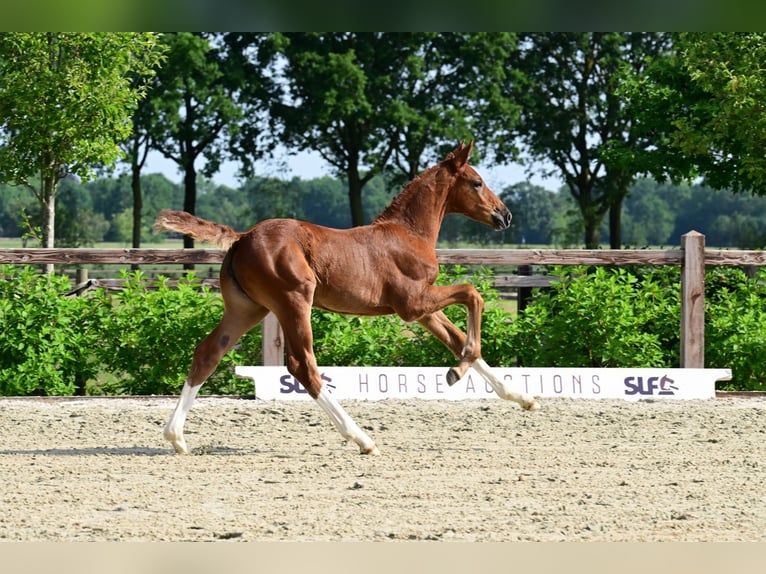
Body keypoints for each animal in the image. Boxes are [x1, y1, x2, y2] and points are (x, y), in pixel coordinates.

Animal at [155, 141, 540, 456]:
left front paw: (521, 397)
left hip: (248, 308)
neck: (408, 234)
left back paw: (177, 437)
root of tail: (241, 237)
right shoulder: (412, 304)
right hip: (293, 301)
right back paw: (361, 438)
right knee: (302, 365)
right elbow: (473, 296)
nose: (505, 215)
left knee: (208, 353)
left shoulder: (423, 310)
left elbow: (458, 339)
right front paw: (456, 372)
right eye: (476, 182)